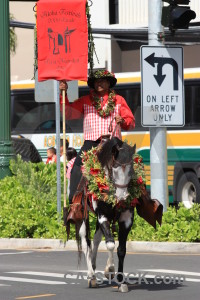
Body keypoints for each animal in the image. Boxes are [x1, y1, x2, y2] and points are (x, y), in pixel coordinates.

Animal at [67, 138, 162, 292]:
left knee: (96, 239)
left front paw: (121, 280)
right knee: (86, 241)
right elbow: (110, 244)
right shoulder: (102, 216)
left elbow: (121, 249)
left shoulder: (126, 219)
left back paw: (94, 267)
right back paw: (91, 276)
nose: (122, 198)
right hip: (82, 216)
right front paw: (110, 270)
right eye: (114, 169)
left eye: (131, 170)